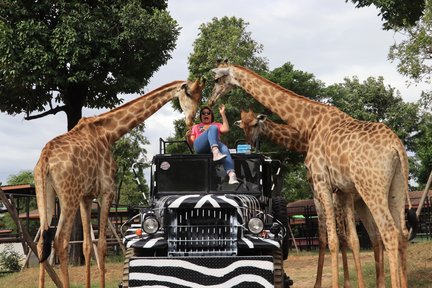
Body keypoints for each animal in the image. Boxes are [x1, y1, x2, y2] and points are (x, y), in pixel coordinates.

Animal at [33, 79, 204, 288]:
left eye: (199, 95)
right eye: (189, 94)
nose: (191, 121)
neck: (108, 133)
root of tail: (45, 158)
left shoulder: (86, 197)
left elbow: (88, 245)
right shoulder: (106, 191)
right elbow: (102, 244)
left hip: (45, 193)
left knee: (42, 241)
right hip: (68, 196)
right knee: (60, 241)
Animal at [236, 109, 388, 286]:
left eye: (255, 124)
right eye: (242, 126)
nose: (251, 144)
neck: (305, 143)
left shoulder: (333, 194)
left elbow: (341, 236)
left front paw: (344, 283)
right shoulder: (321, 195)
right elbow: (327, 237)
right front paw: (324, 283)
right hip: (361, 202)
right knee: (377, 235)